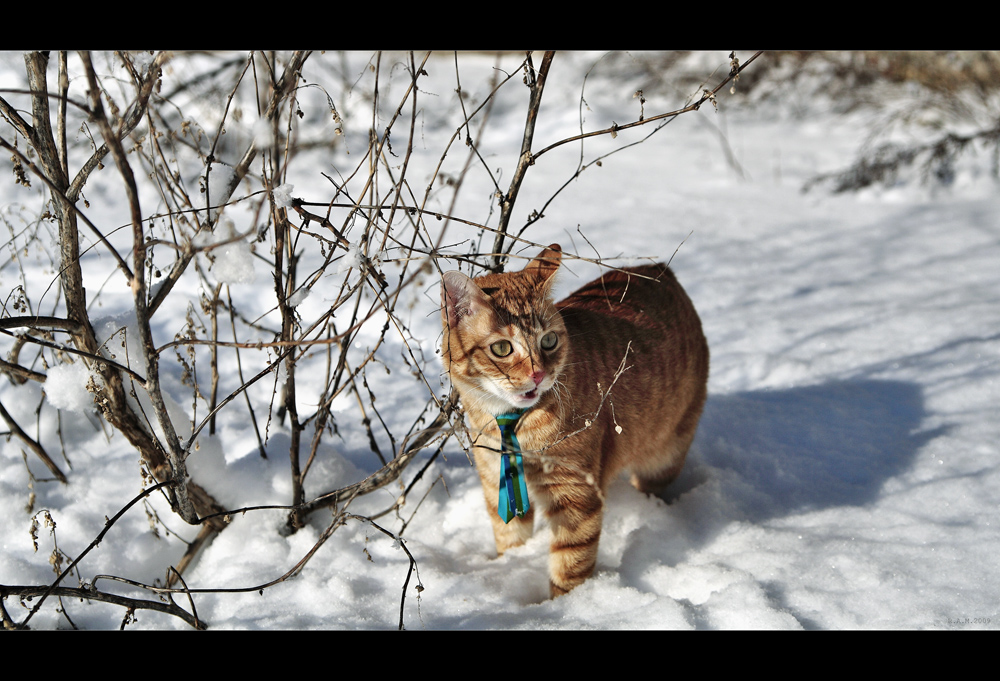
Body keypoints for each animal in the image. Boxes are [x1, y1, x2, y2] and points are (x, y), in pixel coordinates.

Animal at [442, 244, 708, 596]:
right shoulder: (495, 479)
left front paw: (564, 603)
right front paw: (509, 566)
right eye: (501, 348)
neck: (512, 425)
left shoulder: (574, 495)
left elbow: (570, 561)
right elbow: (509, 537)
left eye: (548, 341)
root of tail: (658, 268)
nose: (538, 375)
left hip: (664, 455)